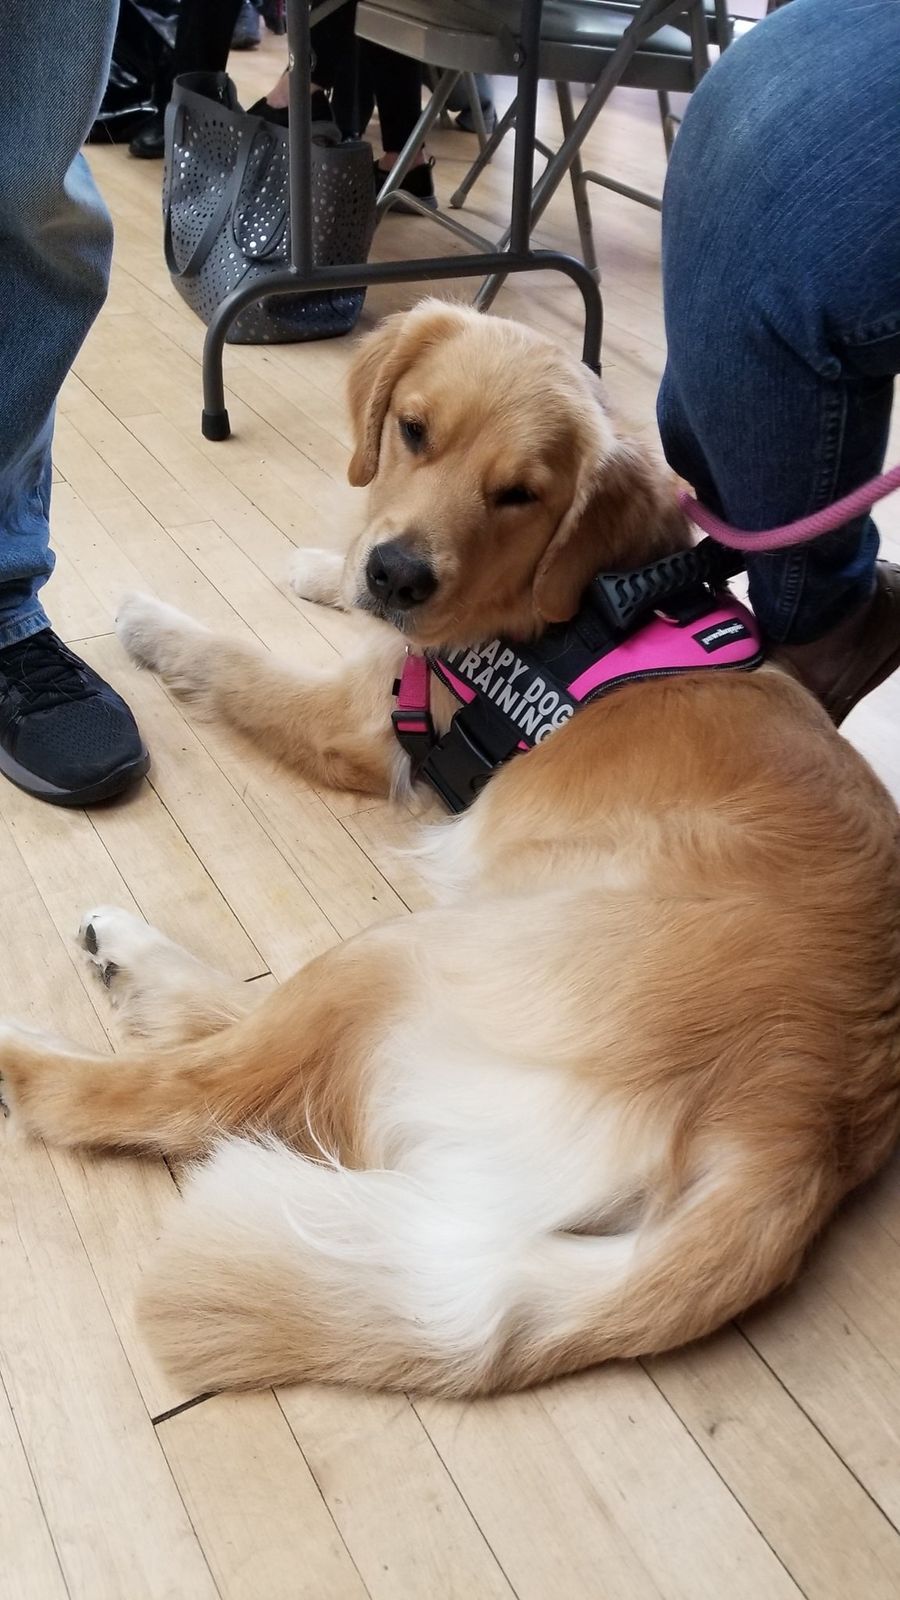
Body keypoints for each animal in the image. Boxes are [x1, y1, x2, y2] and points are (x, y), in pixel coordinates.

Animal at [2, 300, 899, 1398]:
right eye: (413, 431)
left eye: (520, 494)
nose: (397, 573)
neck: (579, 598)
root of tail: (799, 1139)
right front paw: (325, 566)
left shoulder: (360, 721)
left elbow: (237, 663)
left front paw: (153, 622)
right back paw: (124, 957)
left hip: (411, 955)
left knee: (193, 1090)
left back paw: (40, 1049)